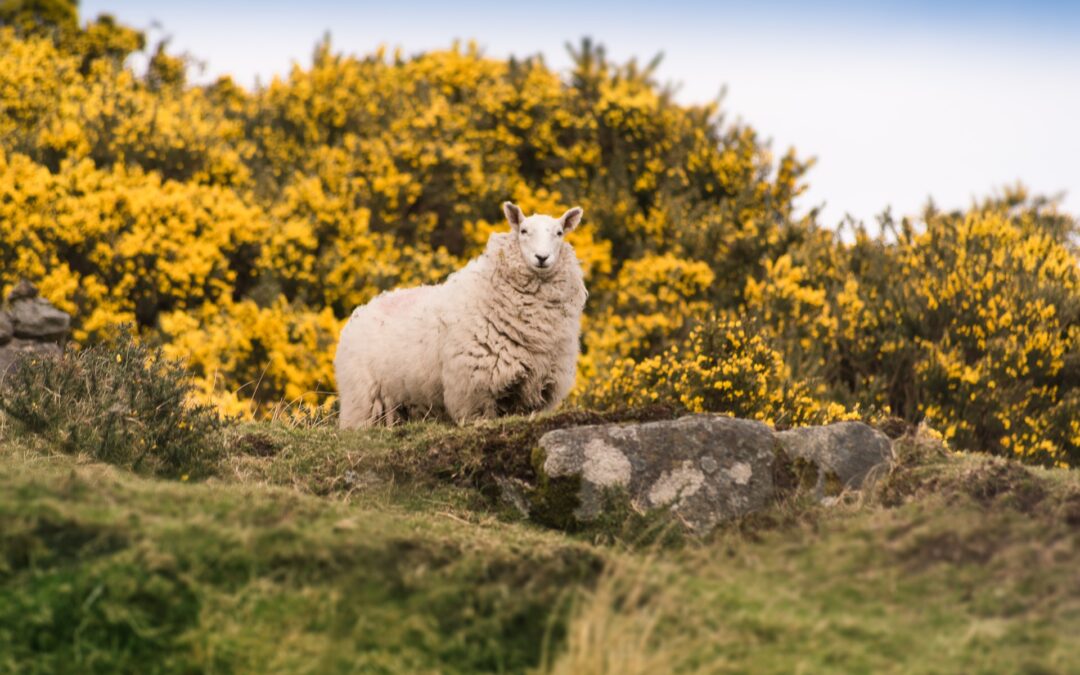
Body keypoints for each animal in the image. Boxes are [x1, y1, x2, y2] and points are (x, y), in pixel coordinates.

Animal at [336, 199, 591, 425]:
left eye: (559, 233)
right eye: (524, 231)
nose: (542, 258)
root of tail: (362, 309)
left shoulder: (537, 386)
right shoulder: (473, 386)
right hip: (361, 400)